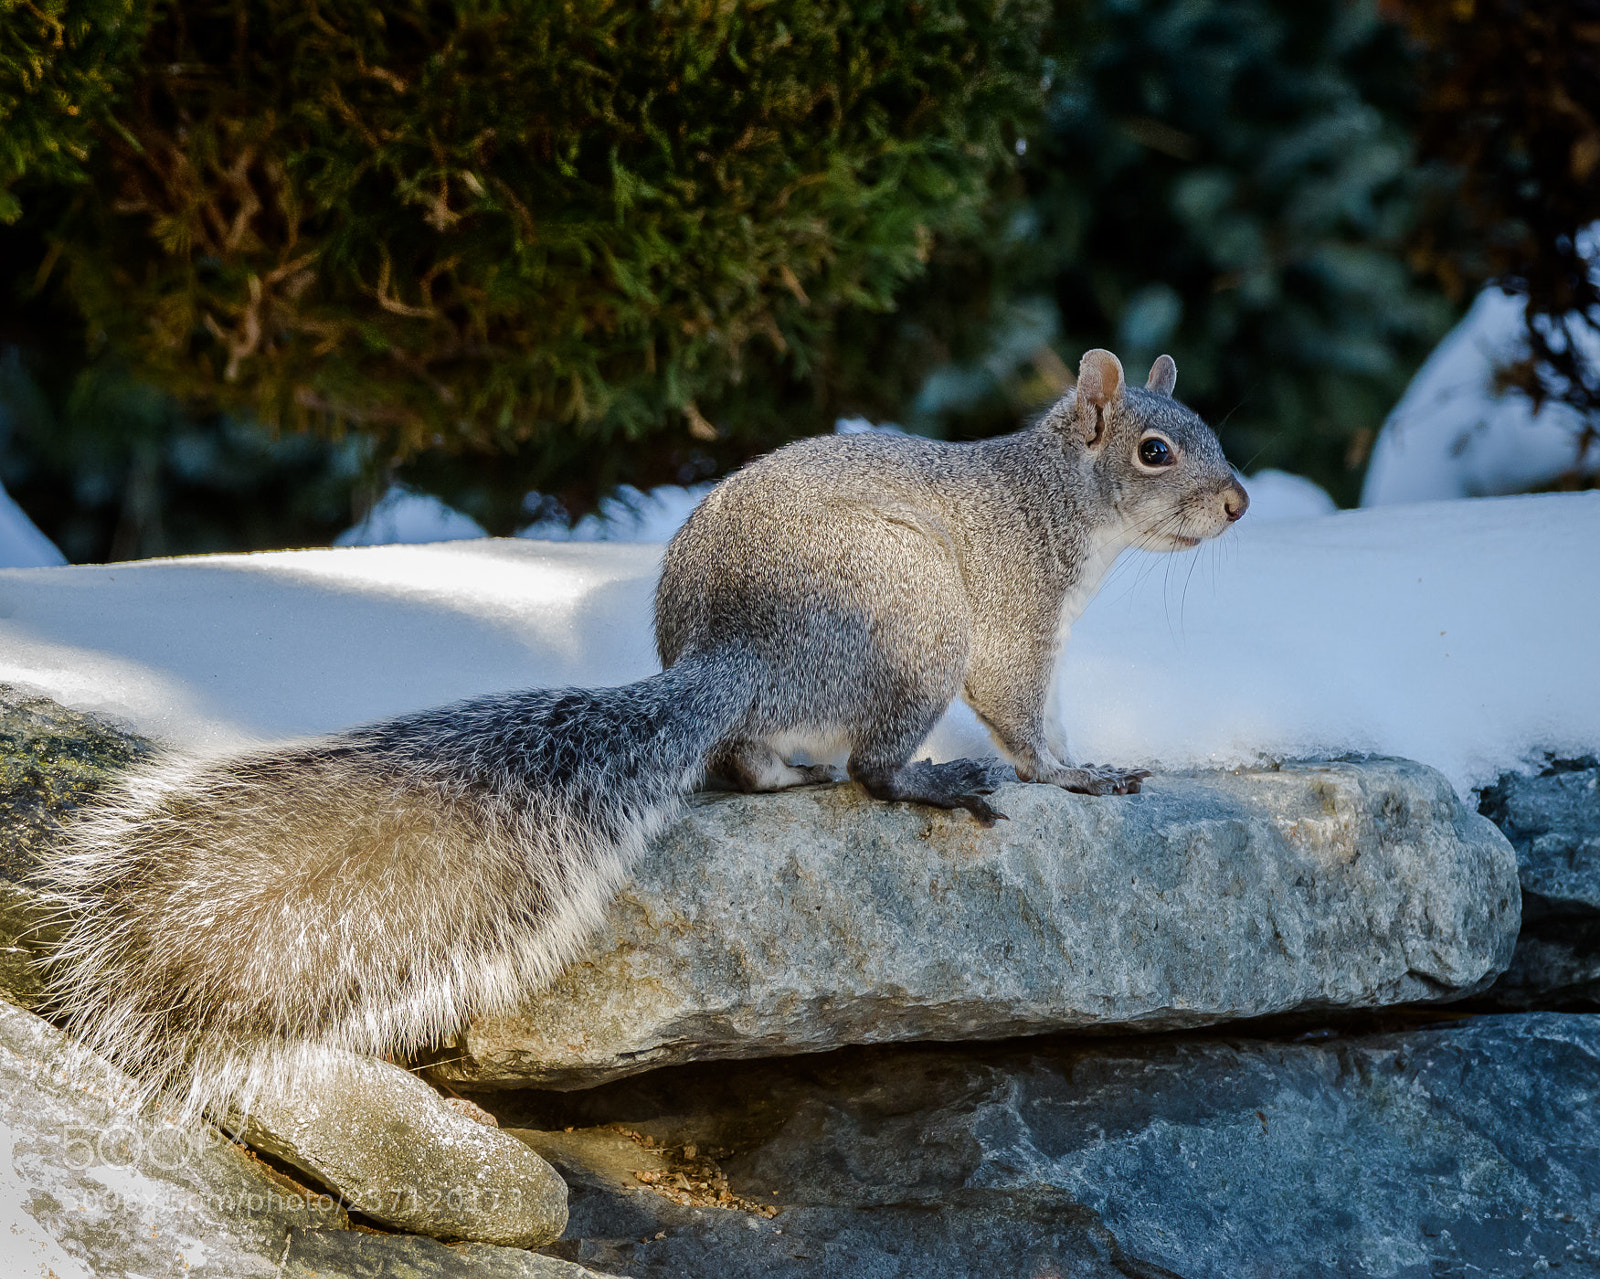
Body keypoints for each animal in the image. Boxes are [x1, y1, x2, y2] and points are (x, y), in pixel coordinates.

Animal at [37, 348, 1247, 1119]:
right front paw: (1073, 772)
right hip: (917, 618)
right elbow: (1024, 713)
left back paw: (784, 773)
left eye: (1211, 433)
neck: (1055, 501)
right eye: (1153, 450)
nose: (1238, 504)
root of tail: (737, 646)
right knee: (873, 766)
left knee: (751, 758)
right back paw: (926, 778)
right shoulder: (1011, 614)